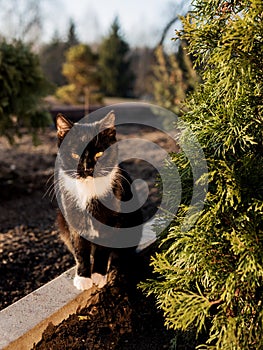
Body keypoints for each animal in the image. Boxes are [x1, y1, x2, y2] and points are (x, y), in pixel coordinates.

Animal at [54, 111, 143, 290]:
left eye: (99, 154)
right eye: (75, 155)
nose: (88, 168)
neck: (89, 190)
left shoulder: (113, 220)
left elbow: (103, 248)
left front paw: (98, 274)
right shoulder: (72, 218)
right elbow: (80, 248)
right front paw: (83, 277)